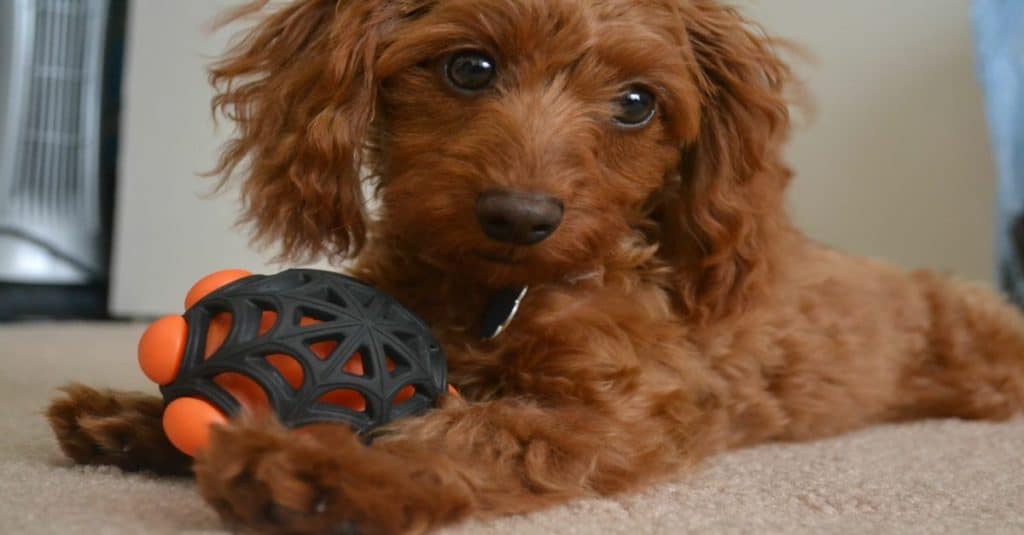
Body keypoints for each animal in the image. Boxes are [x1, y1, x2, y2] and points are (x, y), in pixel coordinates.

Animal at [46, 2, 1024, 528]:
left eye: (637, 103)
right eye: (470, 67)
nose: (520, 215)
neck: (495, 295)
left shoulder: (623, 410)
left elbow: (475, 433)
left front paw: (325, 472)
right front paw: (135, 418)